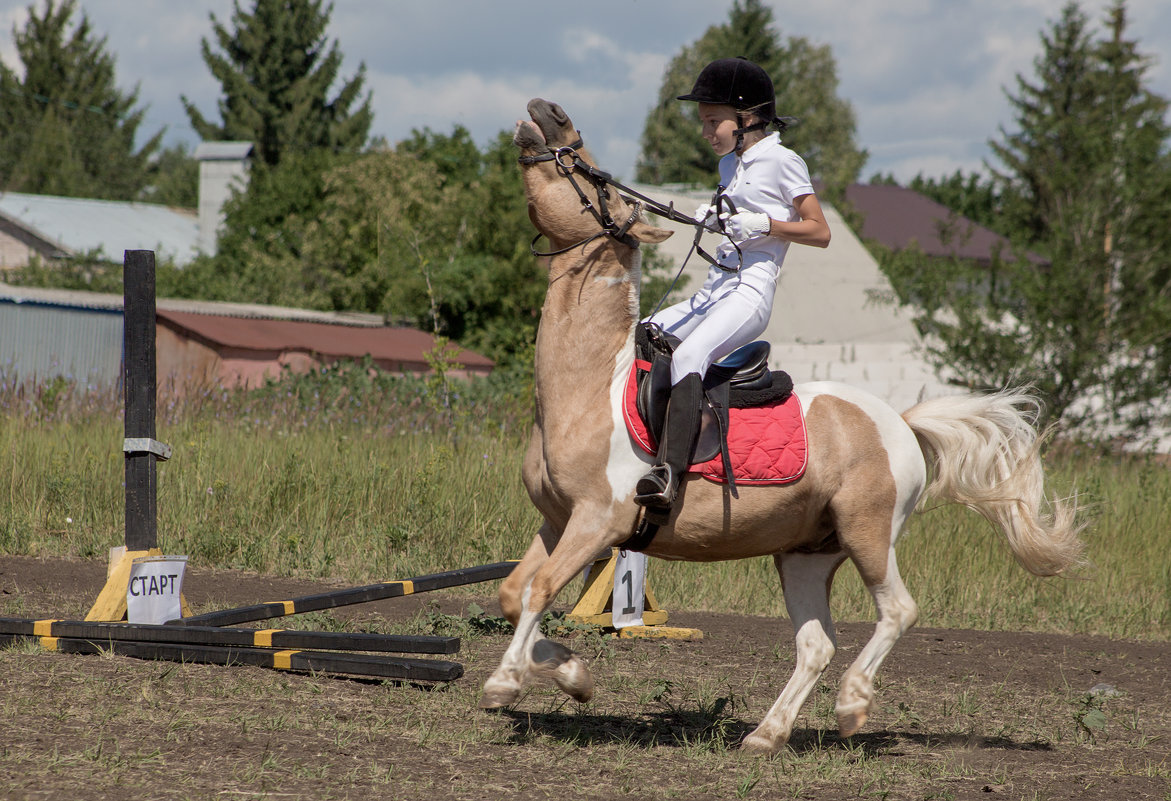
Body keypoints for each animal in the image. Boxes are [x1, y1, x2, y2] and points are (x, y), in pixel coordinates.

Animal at [480, 97, 1082, 754]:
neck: (591, 383)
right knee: (816, 643)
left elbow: (539, 591)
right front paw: (556, 675)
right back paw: (766, 735)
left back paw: (851, 706)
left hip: (868, 534)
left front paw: (524, 682)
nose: (547, 112)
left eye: (602, 186)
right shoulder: (556, 520)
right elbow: (513, 592)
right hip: (805, 553)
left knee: (897, 610)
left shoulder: (597, 520)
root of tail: (897, 422)